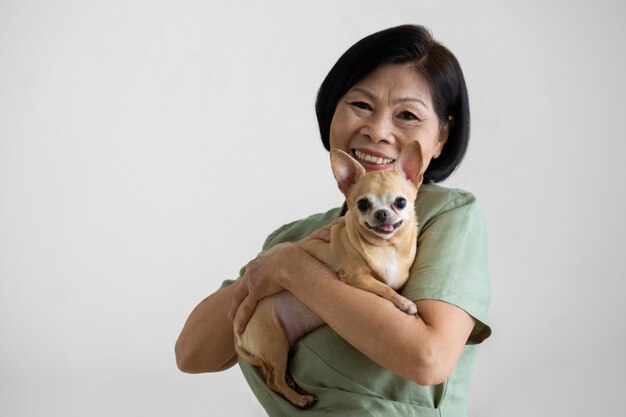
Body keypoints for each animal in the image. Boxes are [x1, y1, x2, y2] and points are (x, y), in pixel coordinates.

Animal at [234, 141, 424, 408]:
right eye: (363, 204)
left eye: (401, 202)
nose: (382, 213)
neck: (386, 248)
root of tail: (238, 337)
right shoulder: (356, 277)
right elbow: (384, 287)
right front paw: (404, 303)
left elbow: (393, 281)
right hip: (274, 342)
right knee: (273, 380)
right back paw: (299, 399)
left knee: (273, 374)